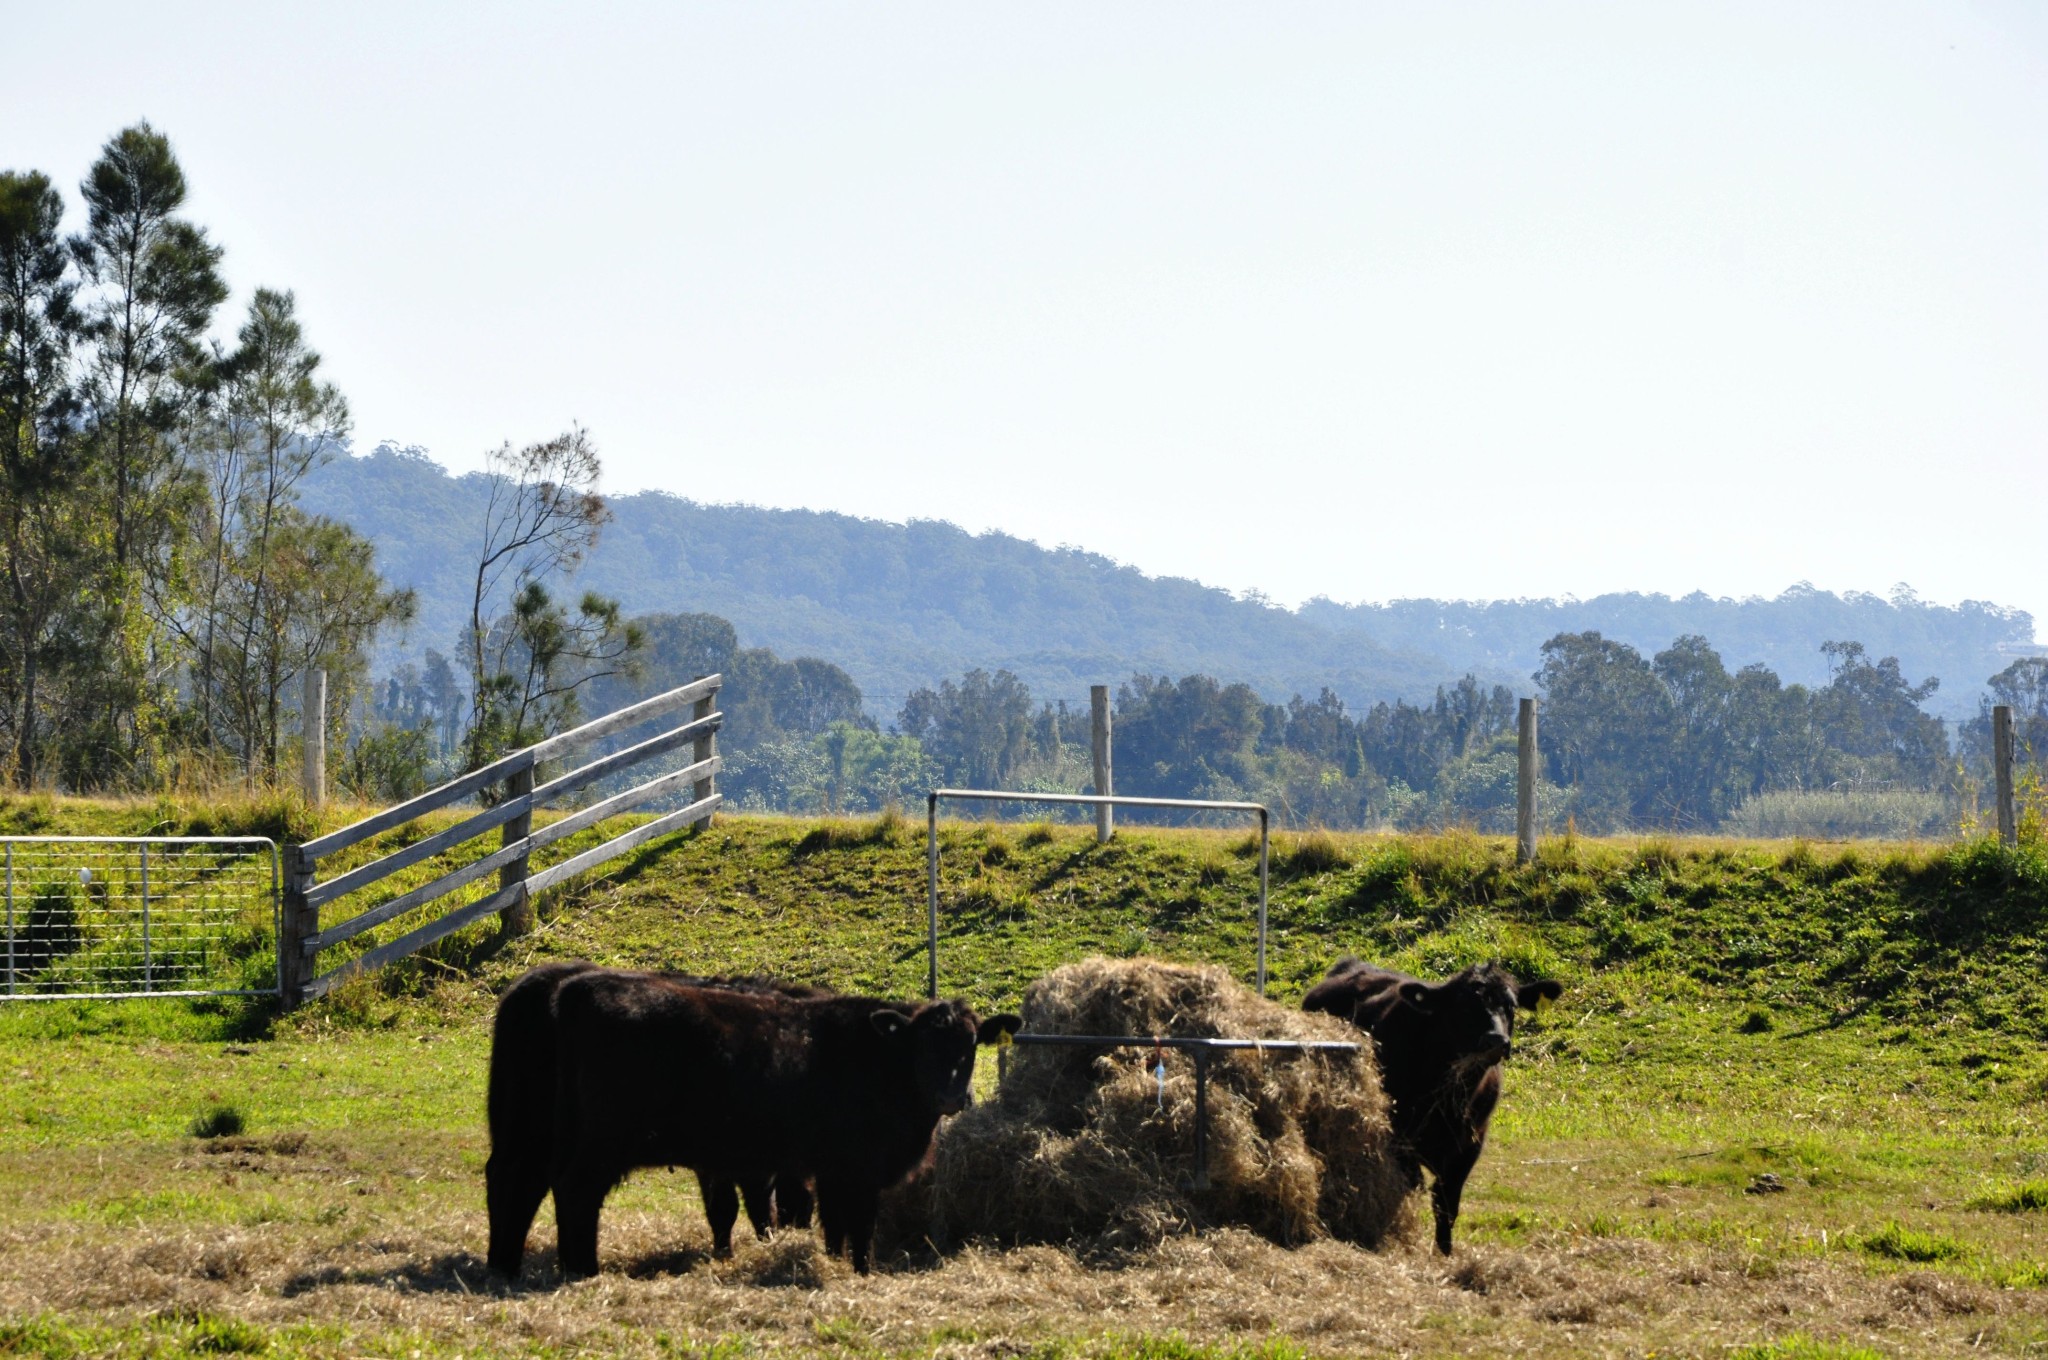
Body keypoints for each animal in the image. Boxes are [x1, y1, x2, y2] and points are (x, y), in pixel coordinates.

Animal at [487, 954, 815, 1278]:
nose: (803, 1226)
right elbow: (753, 1205)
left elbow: (723, 1207)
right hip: (598, 1141)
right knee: (572, 1186)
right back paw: (582, 1270)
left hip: (522, 1126)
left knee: (513, 1177)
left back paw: (503, 1265)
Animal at [1302, 954, 1556, 1253]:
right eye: (1463, 1006)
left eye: (1511, 1006)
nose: (1496, 1040)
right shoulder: (1399, 1137)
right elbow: (1411, 1188)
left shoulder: (1470, 1145)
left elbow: (1446, 1205)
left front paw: (1444, 1253)